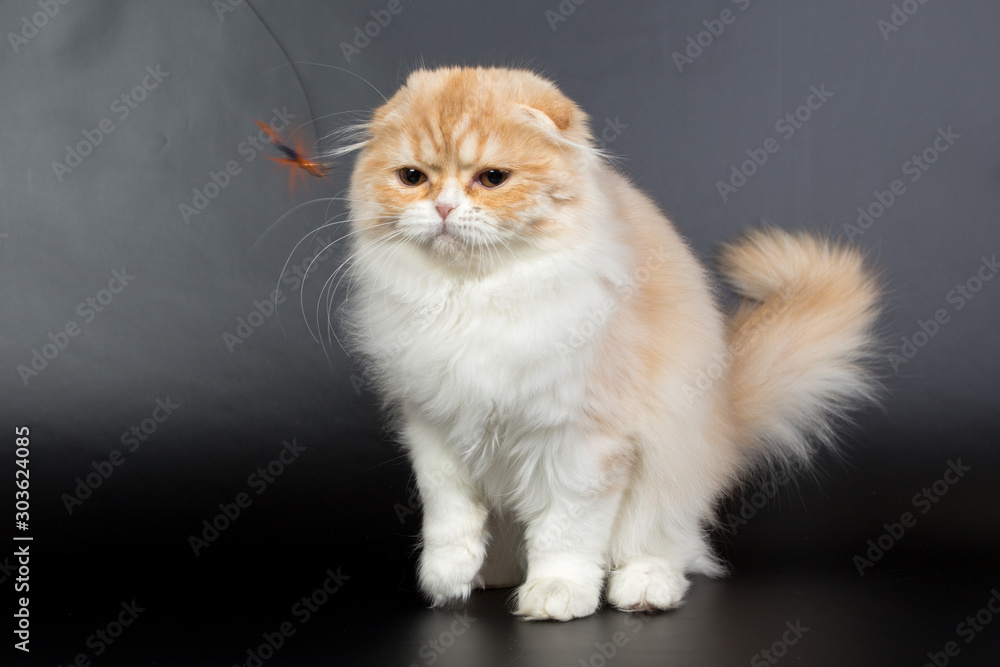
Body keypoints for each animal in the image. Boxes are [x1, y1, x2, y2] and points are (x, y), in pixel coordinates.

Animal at [334, 66, 876, 620]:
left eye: (492, 179)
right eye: (412, 178)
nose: (442, 208)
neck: (476, 296)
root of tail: (727, 410)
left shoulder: (583, 442)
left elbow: (565, 533)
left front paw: (556, 592)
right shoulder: (434, 430)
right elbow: (450, 516)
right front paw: (447, 579)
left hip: (668, 469)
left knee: (668, 546)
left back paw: (643, 588)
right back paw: (494, 576)